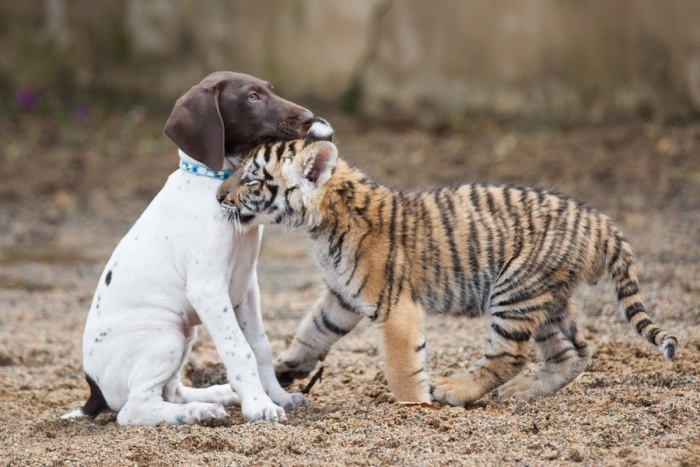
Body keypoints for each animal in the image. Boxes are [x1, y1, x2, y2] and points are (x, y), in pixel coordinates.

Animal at [63, 71, 314, 426]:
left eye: (269, 90)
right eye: (252, 97)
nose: (309, 118)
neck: (216, 184)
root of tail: (94, 392)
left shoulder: (247, 287)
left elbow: (260, 346)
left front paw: (276, 396)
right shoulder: (208, 290)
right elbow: (240, 350)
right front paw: (259, 406)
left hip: (186, 334)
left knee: (171, 391)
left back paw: (214, 397)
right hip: (165, 336)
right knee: (134, 409)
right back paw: (198, 412)